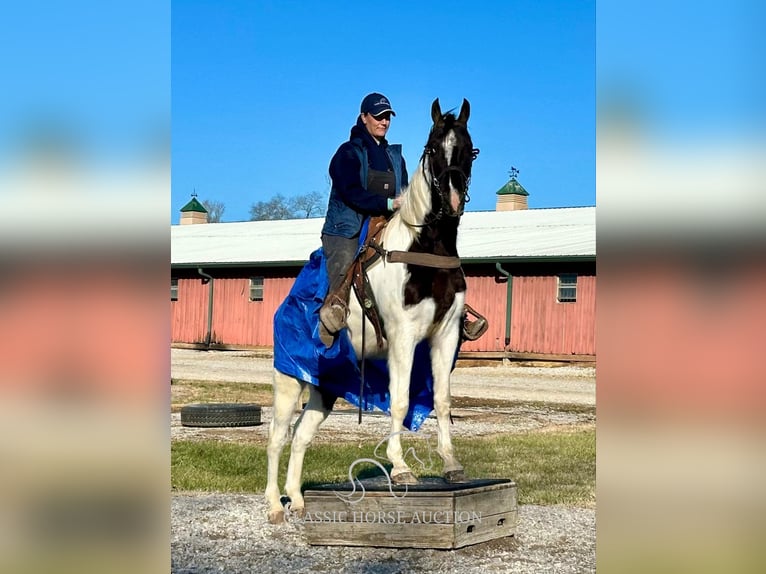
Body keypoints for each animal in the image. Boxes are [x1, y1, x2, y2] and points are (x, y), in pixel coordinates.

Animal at [268, 98, 476, 528]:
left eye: (468, 148)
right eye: (433, 148)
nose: (451, 198)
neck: (425, 248)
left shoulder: (445, 336)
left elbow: (443, 401)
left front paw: (451, 464)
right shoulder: (402, 339)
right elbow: (400, 402)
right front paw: (401, 468)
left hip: (324, 388)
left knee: (301, 436)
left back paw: (296, 500)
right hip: (288, 380)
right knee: (278, 437)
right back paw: (272, 504)